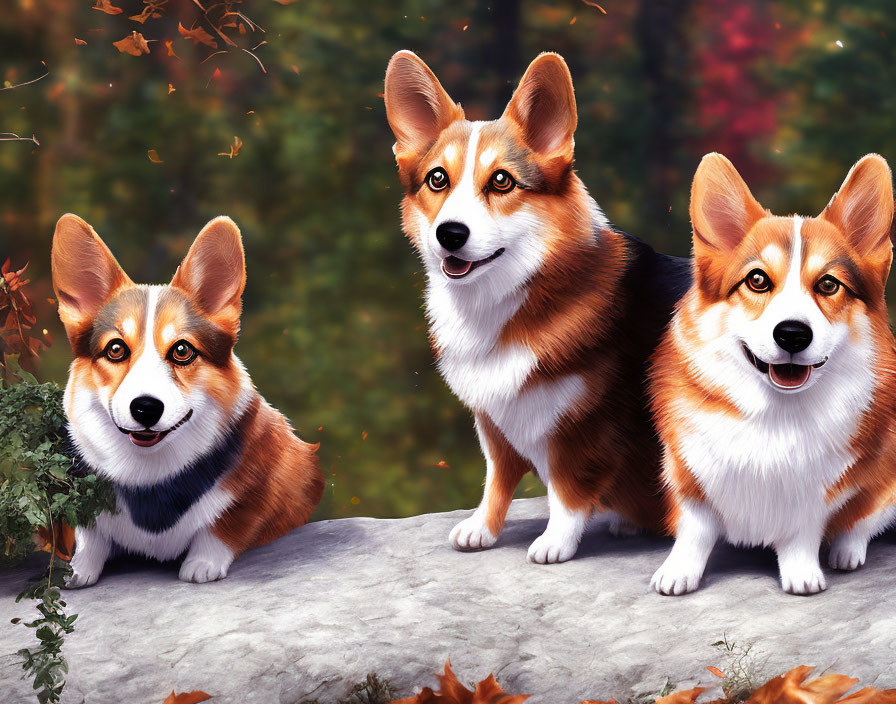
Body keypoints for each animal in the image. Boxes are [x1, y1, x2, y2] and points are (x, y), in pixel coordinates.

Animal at [49, 216, 322, 588]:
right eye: (115, 349)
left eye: (182, 350)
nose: (145, 408)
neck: (151, 477)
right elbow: (91, 532)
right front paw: (77, 569)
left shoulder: (262, 484)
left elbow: (226, 522)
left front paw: (202, 565)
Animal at [382, 51, 688, 560]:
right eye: (437, 179)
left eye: (502, 181)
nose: (450, 233)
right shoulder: (494, 424)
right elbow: (496, 480)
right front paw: (481, 529)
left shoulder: (581, 431)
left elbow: (567, 491)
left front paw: (555, 544)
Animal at [648, 153, 896, 592]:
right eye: (758, 280)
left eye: (828, 284)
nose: (793, 334)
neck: (775, 411)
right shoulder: (689, 475)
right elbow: (695, 529)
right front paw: (678, 572)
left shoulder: (818, 493)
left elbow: (804, 533)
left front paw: (802, 575)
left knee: (863, 522)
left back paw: (847, 551)